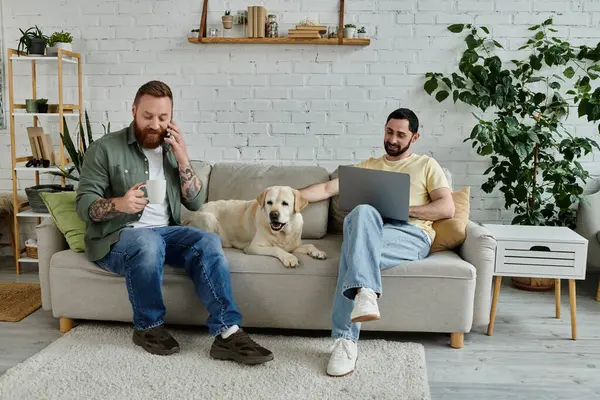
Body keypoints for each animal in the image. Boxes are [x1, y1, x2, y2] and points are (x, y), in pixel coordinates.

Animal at [183, 186, 326, 268]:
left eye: (285, 203)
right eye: (269, 202)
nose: (273, 214)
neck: (282, 233)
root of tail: (194, 212)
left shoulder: (294, 245)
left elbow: (309, 245)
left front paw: (317, 252)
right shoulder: (253, 247)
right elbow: (276, 248)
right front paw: (289, 257)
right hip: (209, 219)